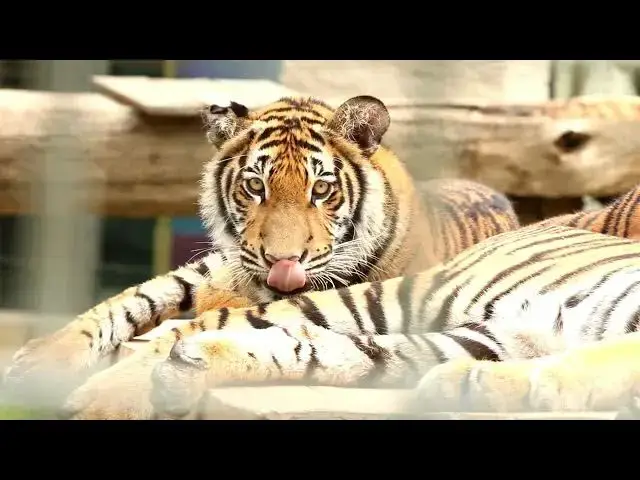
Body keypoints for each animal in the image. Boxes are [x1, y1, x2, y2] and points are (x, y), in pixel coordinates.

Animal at [3, 95, 521, 419]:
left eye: (322, 190)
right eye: (255, 186)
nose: (281, 261)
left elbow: (184, 337)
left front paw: (104, 403)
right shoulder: (220, 268)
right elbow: (134, 300)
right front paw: (43, 363)